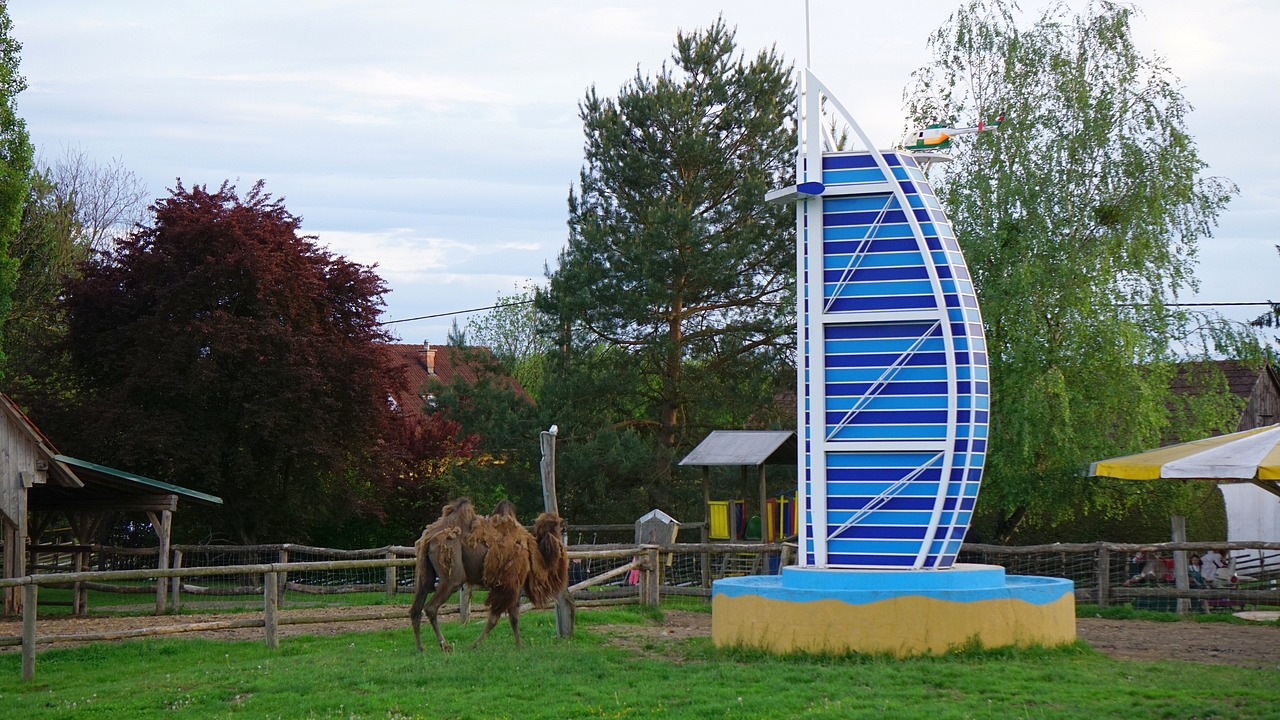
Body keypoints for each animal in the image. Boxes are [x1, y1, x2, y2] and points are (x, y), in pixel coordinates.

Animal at [410, 497, 569, 652]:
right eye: (556, 523)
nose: (564, 524)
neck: (534, 553)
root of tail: (428, 537)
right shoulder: (511, 583)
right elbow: (498, 618)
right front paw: (475, 645)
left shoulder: (508, 584)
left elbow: (510, 617)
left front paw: (518, 645)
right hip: (452, 571)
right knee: (431, 607)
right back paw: (445, 646)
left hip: (424, 573)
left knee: (416, 607)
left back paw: (420, 648)